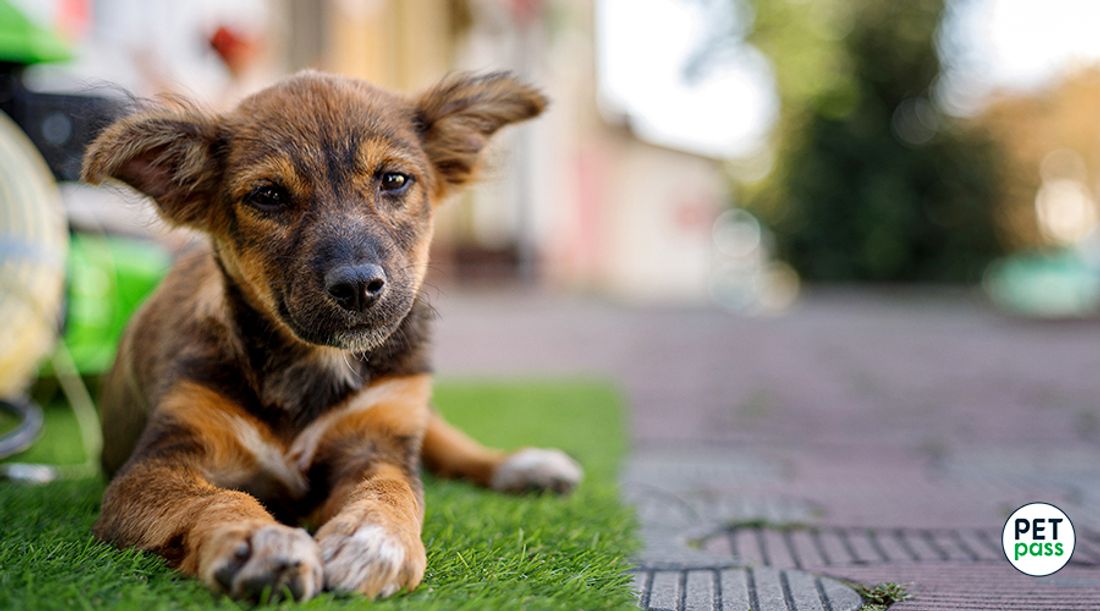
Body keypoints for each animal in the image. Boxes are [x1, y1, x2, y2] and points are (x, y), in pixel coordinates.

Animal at [83, 71, 585, 603]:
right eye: (268, 195)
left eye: (394, 180)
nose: (358, 286)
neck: (314, 364)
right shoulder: (155, 464)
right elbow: (212, 498)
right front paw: (257, 540)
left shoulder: (378, 441)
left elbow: (394, 489)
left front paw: (375, 539)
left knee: (446, 440)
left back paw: (525, 465)